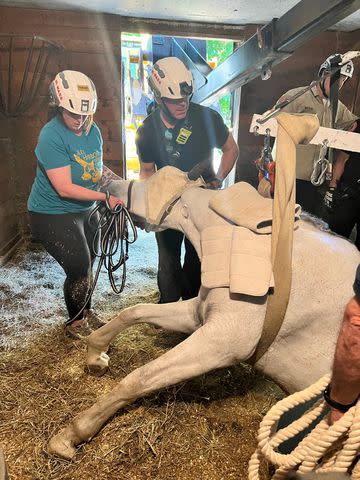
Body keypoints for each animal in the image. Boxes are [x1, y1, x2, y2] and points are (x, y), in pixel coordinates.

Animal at [47, 163, 360, 460]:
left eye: (148, 184)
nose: (107, 185)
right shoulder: (199, 315)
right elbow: (133, 313)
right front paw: (95, 354)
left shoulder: (220, 342)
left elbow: (139, 378)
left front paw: (72, 433)